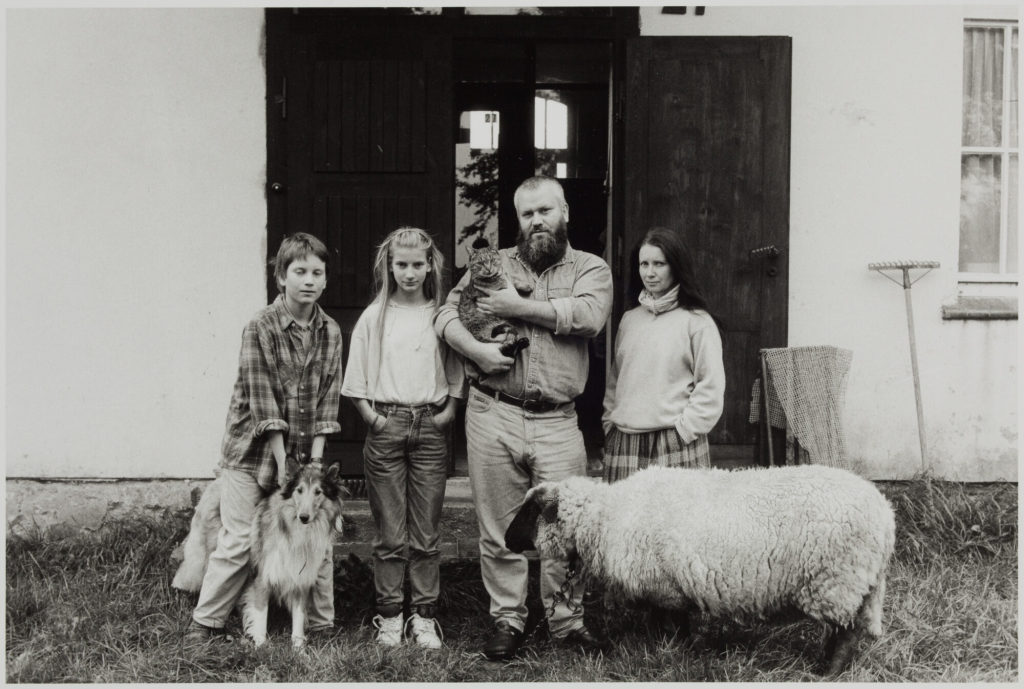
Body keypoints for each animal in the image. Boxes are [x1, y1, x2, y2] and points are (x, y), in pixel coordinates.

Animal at [168, 458, 344, 647]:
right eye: (299, 490)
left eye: (318, 492)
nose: (304, 517)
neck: (296, 531)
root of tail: (219, 480)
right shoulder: (262, 578)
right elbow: (260, 613)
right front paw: (260, 644)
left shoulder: (300, 579)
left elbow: (298, 617)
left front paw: (299, 648)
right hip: (205, 552)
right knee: (196, 575)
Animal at [503, 458, 897, 675]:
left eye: (530, 511)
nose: (506, 541)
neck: (606, 517)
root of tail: (885, 514)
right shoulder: (664, 587)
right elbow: (663, 621)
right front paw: (664, 647)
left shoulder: (665, 586)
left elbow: (674, 624)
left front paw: (673, 652)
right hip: (852, 582)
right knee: (845, 628)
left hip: (836, 579)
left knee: (845, 633)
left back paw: (826, 672)